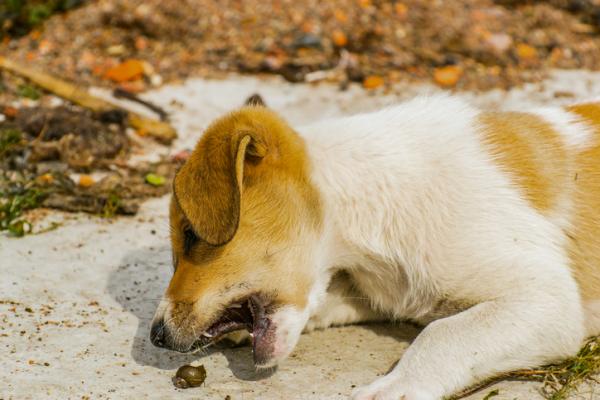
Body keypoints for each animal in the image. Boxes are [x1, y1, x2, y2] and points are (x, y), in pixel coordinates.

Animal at [150, 96, 600, 400]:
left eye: (191, 234)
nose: (156, 336)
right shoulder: (385, 294)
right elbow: (329, 301)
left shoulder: (545, 297)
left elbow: (443, 333)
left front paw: (395, 387)